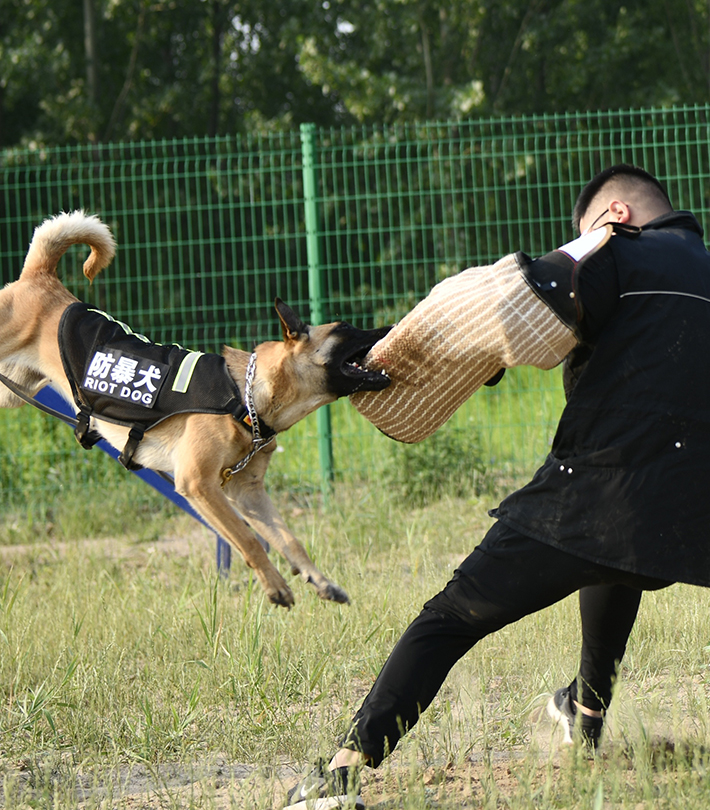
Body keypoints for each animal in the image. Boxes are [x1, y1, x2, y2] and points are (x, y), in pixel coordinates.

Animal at [0, 211, 392, 604]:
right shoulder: (199, 485)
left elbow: (289, 540)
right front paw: (275, 585)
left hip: (12, 392)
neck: (246, 396)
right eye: (346, 327)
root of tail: (40, 278)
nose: (390, 326)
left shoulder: (248, 492)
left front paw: (321, 580)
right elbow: (248, 539)